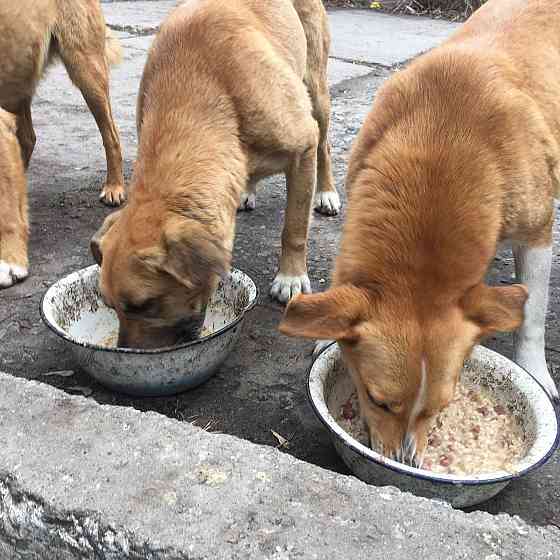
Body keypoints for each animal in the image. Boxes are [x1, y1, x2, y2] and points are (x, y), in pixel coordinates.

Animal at [89, 0, 340, 348]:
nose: (126, 352)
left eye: (145, 305)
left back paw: (326, 192)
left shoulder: (303, 149)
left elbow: (294, 228)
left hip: (316, 91)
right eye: (110, 305)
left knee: (325, 146)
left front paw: (290, 276)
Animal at [280, 0, 560, 466]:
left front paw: (534, 369)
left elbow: (533, 314)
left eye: (441, 408)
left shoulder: (537, 233)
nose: (404, 463)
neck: (445, 143)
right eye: (377, 400)